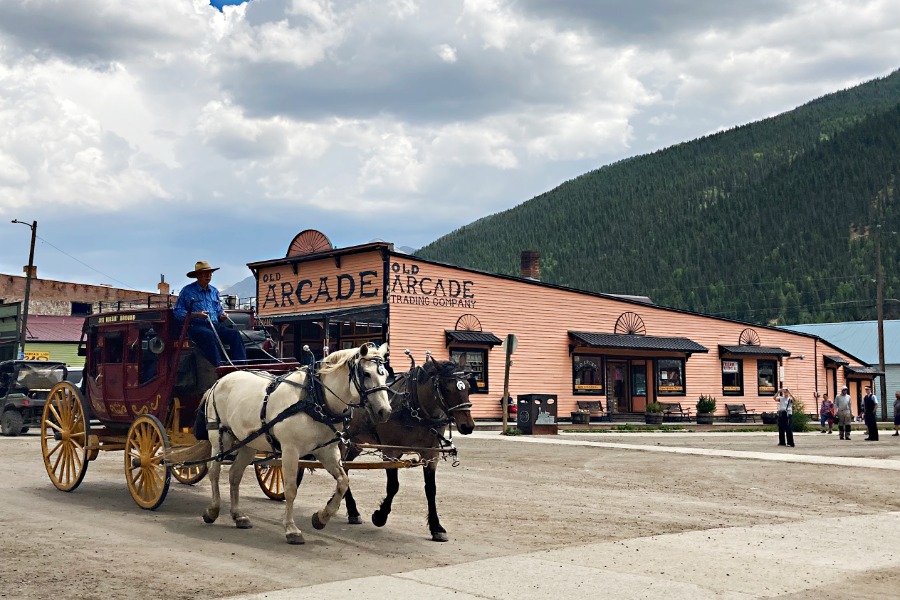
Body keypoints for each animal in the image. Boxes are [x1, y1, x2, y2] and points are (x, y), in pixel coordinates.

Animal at [200, 342, 390, 544]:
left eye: (385, 374)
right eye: (366, 374)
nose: (385, 411)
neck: (314, 397)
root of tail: (220, 381)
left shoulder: (327, 450)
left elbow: (343, 482)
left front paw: (321, 518)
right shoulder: (290, 450)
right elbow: (290, 489)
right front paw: (291, 529)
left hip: (248, 443)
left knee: (235, 475)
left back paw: (238, 515)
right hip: (220, 437)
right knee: (214, 471)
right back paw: (213, 510)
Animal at [306, 354, 474, 540]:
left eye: (467, 387)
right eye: (446, 388)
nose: (468, 426)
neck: (414, 407)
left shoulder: (431, 454)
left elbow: (431, 489)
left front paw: (436, 526)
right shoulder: (391, 452)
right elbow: (393, 486)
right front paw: (380, 516)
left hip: (354, 444)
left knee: (346, 469)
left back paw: (348, 509)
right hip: (341, 442)